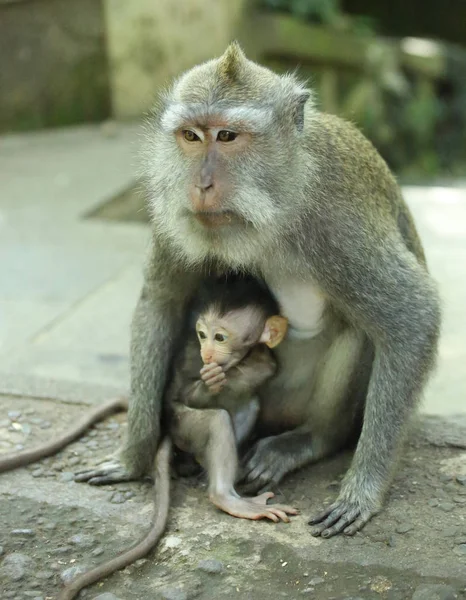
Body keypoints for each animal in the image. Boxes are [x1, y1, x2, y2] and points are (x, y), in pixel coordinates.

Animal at [168, 274, 298, 524]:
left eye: (219, 337)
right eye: (202, 335)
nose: (207, 353)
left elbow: (260, 370)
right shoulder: (193, 354)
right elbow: (184, 391)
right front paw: (209, 383)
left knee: (250, 404)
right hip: (178, 424)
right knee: (216, 420)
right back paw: (226, 497)